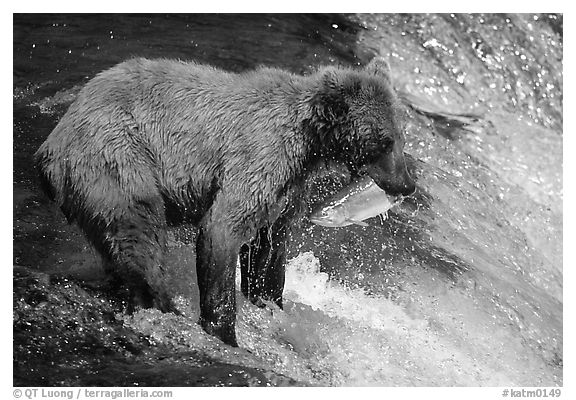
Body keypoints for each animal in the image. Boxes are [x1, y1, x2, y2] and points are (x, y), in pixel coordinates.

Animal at [35, 57, 414, 346]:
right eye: (383, 141)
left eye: (400, 137)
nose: (407, 185)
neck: (310, 142)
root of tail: (50, 147)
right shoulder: (259, 158)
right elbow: (222, 230)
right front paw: (224, 329)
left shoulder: (287, 188)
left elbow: (267, 250)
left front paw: (268, 302)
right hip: (118, 156)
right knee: (138, 233)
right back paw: (164, 307)